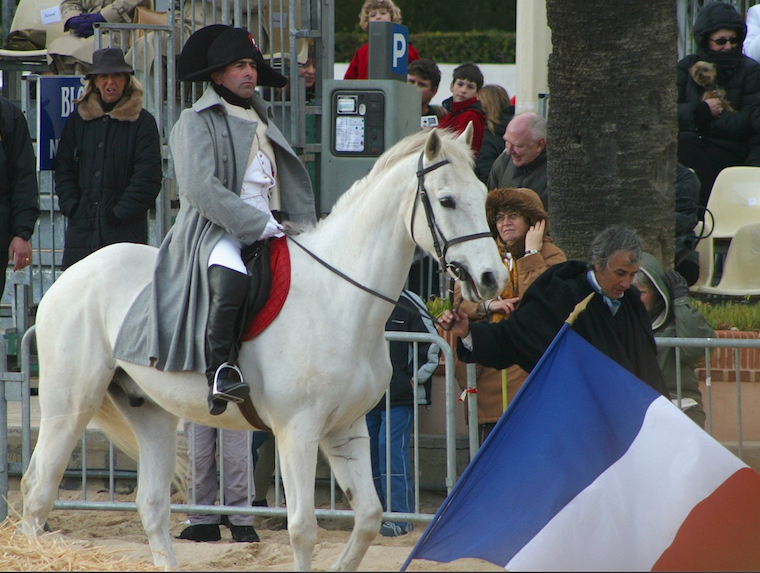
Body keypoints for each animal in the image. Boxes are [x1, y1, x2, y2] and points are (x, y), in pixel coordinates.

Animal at [19, 125, 504, 568]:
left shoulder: (346, 427)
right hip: (69, 407)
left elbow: (368, 517)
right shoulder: (298, 431)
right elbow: (303, 529)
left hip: (150, 412)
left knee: (151, 505)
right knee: (38, 492)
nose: (492, 278)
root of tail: (69, 276)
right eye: (447, 200)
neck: (340, 297)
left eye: (483, 194)